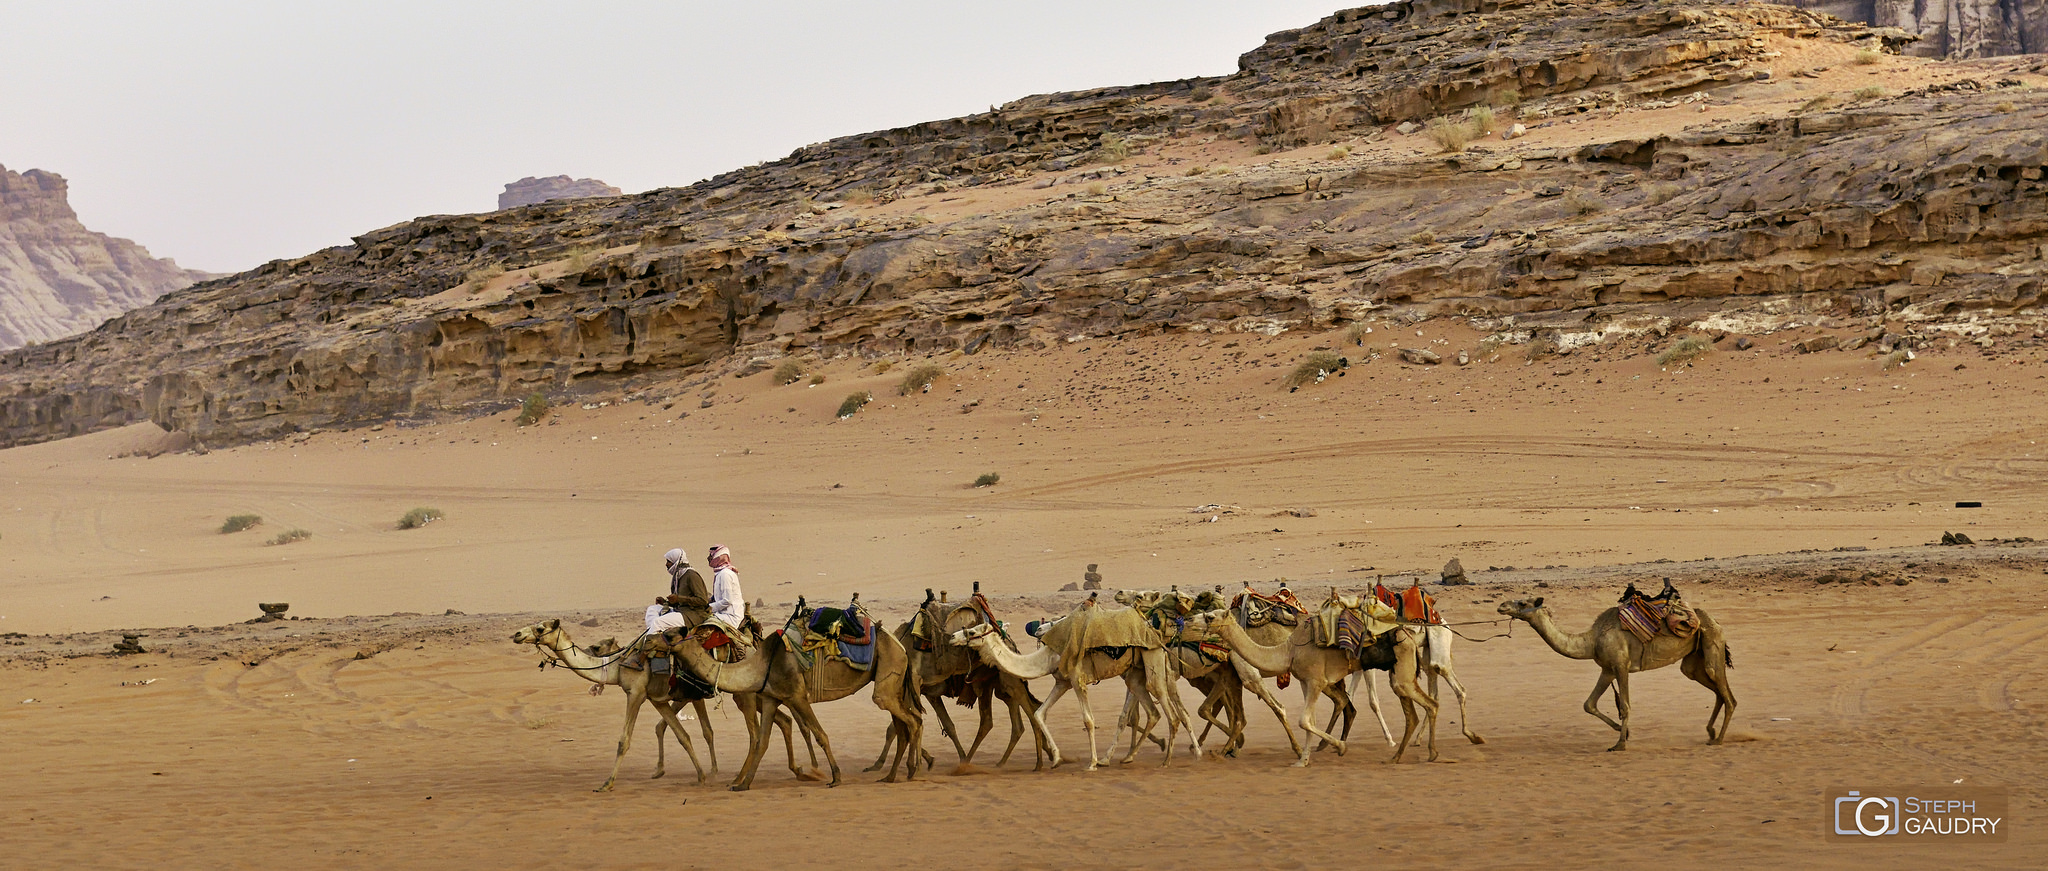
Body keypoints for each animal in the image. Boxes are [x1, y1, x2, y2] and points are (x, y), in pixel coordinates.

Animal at [512, 618, 815, 786]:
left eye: (539, 627)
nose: (516, 634)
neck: (619, 665)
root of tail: (754, 644)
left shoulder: (636, 693)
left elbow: (624, 740)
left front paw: (607, 783)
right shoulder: (658, 699)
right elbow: (680, 734)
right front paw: (699, 775)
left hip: (746, 694)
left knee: (765, 729)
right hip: (755, 692)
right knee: (785, 720)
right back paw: (799, 769)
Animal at [667, 602, 925, 791]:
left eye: (670, 634)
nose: (658, 641)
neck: (761, 663)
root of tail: (901, 645)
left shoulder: (797, 695)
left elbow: (820, 734)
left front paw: (835, 777)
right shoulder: (771, 697)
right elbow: (763, 741)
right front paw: (743, 785)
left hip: (888, 671)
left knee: (912, 720)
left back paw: (914, 772)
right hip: (893, 681)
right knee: (905, 726)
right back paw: (892, 776)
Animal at [946, 602, 1196, 770]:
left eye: (972, 631)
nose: (952, 637)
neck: (1047, 655)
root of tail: (1155, 633)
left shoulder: (1077, 679)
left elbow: (1088, 720)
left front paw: (1091, 763)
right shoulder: (1062, 682)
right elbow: (1039, 713)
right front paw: (1057, 759)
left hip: (1152, 660)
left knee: (1170, 712)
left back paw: (1167, 760)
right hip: (1135, 674)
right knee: (1152, 712)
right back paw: (1123, 757)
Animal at [1196, 606, 1441, 762]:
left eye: (1210, 617)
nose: (1195, 623)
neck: (1289, 650)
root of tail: (1409, 635)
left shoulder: (1316, 680)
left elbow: (1304, 720)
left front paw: (1340, 747)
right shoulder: (1305, 681)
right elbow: (1309, 721)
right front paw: (1303, 759)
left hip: (1402, 668)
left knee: (1431, 704)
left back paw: (1431, 753)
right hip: (1398, 673)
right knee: (1412, 713)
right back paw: (1397, 757)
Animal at [1499, 594, 1736, 750]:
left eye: (1523, 602)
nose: (1501, 606)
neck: (1592, 641)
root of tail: (1716, 622)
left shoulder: (1621, 664)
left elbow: (1625, 705)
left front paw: (1620, 744)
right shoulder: (1607, 669)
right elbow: (1589, 704)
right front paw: (1626, 733)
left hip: (1712, 642)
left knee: (1728, 695)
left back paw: (1719, 739)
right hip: (1693, 660)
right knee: (1713, 688)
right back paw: (1711, 733)